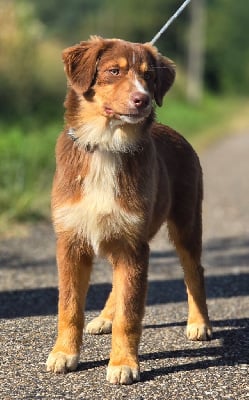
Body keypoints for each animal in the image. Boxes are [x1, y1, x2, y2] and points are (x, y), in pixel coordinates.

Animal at [45, 36, 211, 384]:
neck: (107, 146)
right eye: (114, 71)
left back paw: (199, 323)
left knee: (194, 271)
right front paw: (64, 354)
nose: (143, 100)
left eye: (149, 76)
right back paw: (104, 318)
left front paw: (123, 363)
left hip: (186, 222)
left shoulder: (133, 245)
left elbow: (130, 311)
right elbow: (69, 306)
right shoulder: (71, 241)